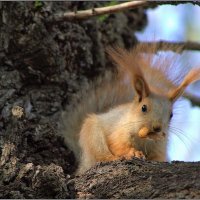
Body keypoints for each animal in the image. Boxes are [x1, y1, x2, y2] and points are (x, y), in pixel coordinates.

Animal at [60, 43, 200, 173]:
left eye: (171, 115)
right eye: (143, 107)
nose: (157, 128)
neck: (143, 138)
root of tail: (83, 163)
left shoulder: (160, 145)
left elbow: (158, 157)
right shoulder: (119, 130)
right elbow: (117, 144)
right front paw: (132, 152)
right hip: (93, 138)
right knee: (101, 155)